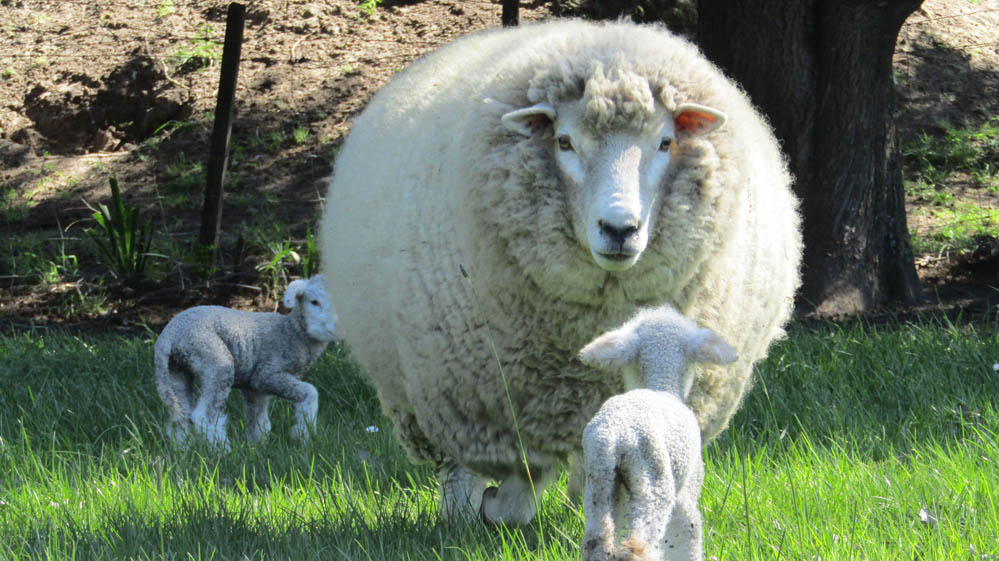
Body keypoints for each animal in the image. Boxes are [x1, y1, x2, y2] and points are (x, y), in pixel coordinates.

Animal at [154, 276, 338, 450]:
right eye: (314, 302)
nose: (335, 327)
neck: (291, 332)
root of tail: (169, 336)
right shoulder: (266, 374)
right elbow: (310, 393)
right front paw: (304, 439)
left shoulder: (254, 388)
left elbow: (258, 422)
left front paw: (257, 448)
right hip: (214, 360)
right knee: (204, 417)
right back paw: (223, 452)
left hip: (175, 372)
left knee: (181, 416)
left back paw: (183, 450)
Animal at [320, 18, 804, 524]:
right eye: (564, 142)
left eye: (665, 142)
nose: (619, 229)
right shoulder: (488, 409)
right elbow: (517, 484)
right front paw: (495, 510)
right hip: (430, 392)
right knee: (458, 468)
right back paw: (465, 510)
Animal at [580, 306, 736, 560]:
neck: (662, 385)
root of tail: (615, 435)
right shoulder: (688, 486)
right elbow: (689, 531)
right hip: (654, 480)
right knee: (638, 544)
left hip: (600, 480)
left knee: (597, 541)